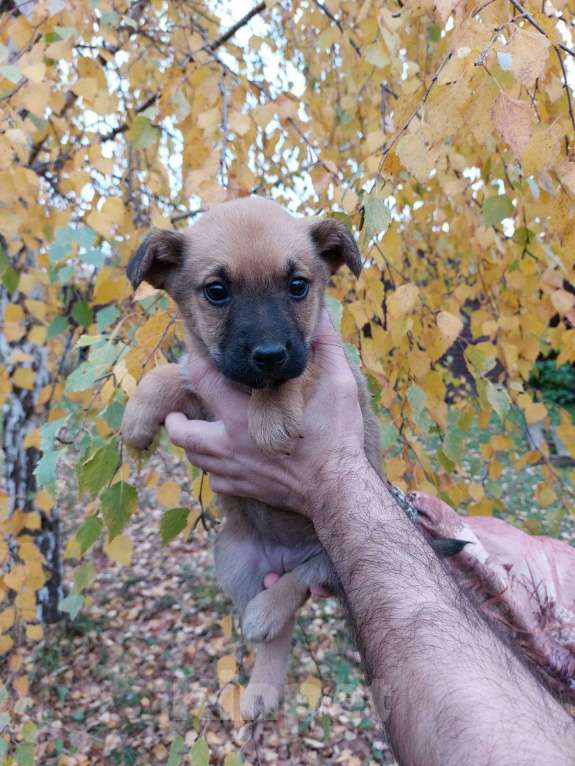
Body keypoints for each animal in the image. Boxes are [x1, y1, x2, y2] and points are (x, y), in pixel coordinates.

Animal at [121, 196, 382, 720]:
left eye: (298, 285)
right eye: (217, 291)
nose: (269, 353)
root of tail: (282, 553)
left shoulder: (317, 358)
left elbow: (298, 372)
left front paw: (273, 414)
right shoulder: (205, 396)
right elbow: (173, 372)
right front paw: (138, 416)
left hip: (338, 556)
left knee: (299, 583)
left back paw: (266, 612)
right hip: (234, 560)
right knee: (278, 629)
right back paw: (263, 686)